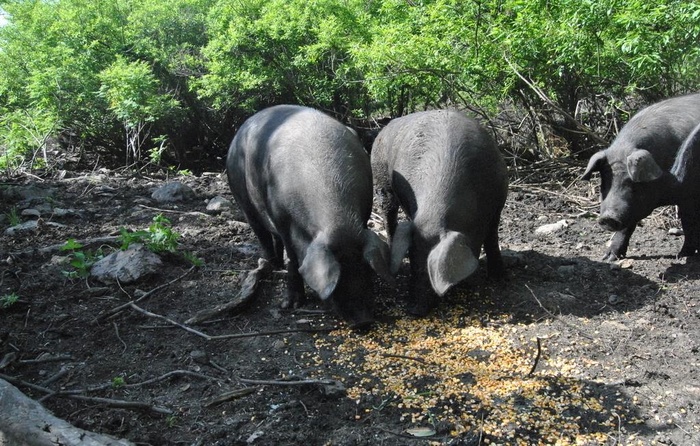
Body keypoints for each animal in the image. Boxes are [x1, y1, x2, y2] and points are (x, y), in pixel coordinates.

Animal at [228, 104, 394, 328]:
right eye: (338, 274)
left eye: (365, 268)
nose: (363, 321)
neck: (338, 223)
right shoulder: (280, 217)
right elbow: (292, 258)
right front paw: (290, 305)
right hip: (242, 199)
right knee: (262, 234)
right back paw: (271, 265)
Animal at [372, 109, 508, 316]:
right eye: (413, 262)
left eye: (430, 269)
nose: (414, 309)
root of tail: (385, 127)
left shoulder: (498, 202)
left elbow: (492, 239)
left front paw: (499, 278)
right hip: (381, 180)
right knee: (389, 215)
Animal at [580, 93, 700, 262]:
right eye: (605, 183)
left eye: (632, 184)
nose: (608, 217)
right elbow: (627, 226)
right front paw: (608, 258)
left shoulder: (688, 194)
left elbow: (689, 222)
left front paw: (682, 255)